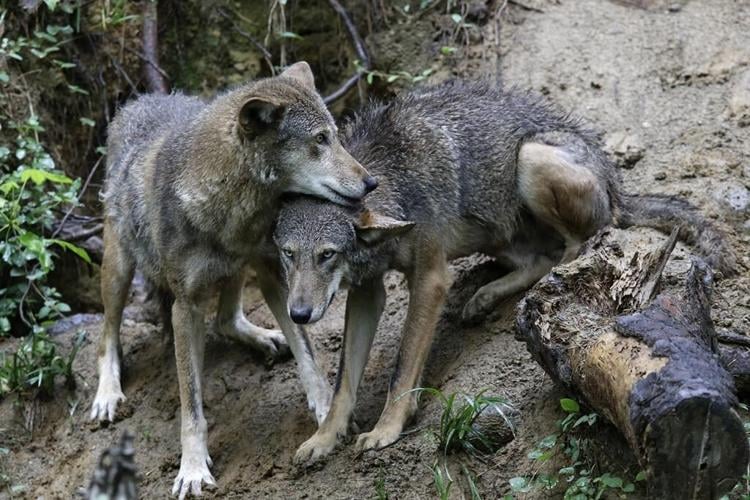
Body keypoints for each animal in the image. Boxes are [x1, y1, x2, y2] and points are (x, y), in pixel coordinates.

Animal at [91, 62, 376, 498]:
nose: (370, 182)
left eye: (336, 135)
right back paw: (107, 394)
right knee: (107, 333)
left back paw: (264, 338)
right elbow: (191, 407)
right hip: (119, 268)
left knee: (227, 319)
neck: (228, 210)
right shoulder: (186, 306)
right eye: (320, 140)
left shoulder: (275, 272)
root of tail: (138, 100)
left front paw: (329, 411)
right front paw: (192, 468)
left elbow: (308, 356)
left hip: (240, 269)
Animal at [272, 80, 737, 464]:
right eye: (287, 255)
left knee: (577, 245)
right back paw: (484, 296)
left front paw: (386, 428)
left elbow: (402, 368)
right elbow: (342, 385)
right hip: (491, 229)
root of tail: (615, 180)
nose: (298, 315)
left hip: (530, 160)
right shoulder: (367, 291)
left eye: (327, 255)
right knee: (539, 258)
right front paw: (324, 439)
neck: (391, 177)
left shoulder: (430, 277)